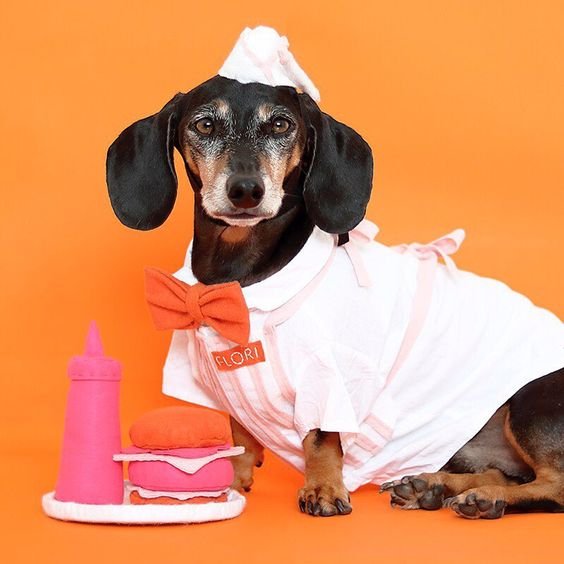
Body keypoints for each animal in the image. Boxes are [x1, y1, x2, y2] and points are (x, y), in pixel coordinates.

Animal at [107, 76, 564, 520]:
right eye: (203, 125)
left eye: (281, 124)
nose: (246, 190)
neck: (243, 277)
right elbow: (239, 434)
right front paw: (230, 481)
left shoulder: (330, 377)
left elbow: (320, 438)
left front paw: (323, 488)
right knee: (505, 472)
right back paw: (432, 487)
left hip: (529, 399)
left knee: (554, 488)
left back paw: (484, 498)